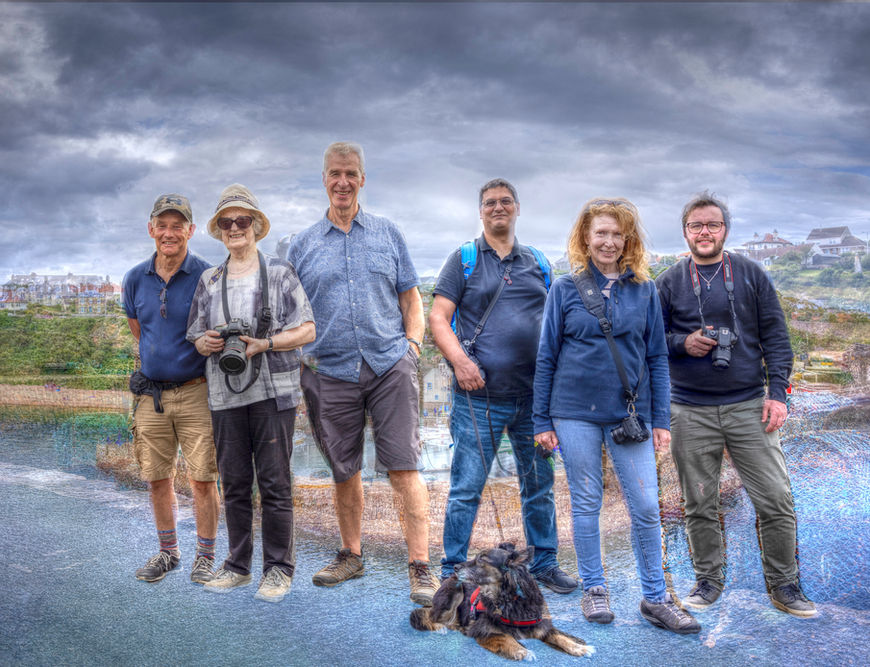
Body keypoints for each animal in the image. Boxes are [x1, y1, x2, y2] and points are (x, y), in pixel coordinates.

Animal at [410, 543, 593, 661]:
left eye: (482, 559)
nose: (455, 567)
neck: (509, 599)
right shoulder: (481, 630)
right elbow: (505, 636)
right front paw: (522, 651)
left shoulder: (541, 625)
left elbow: (559, 636)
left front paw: (579, 647)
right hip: (454, 592)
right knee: (427, 615)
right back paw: (440, 626)